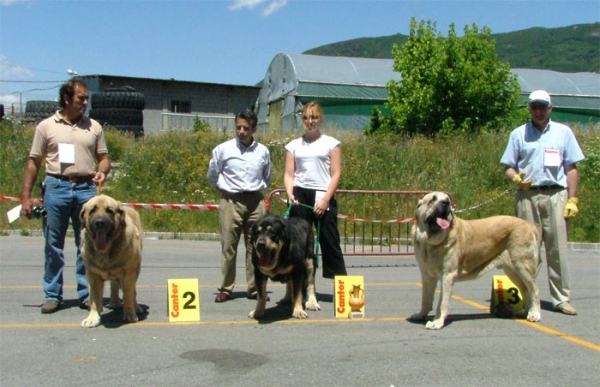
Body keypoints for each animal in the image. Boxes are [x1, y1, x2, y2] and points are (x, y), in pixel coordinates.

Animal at [79, 194, 143, 328]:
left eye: (109, 211)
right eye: (92, 210)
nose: (99, 223)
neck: (105, 252)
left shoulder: (128, 274)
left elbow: (128, 295)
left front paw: (130, 314)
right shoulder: (92, 275)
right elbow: (94, 298)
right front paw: (92, 318)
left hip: (135, 270)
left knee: (132, 292)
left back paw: (135, 307)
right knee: (114, 285)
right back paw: (113, 302)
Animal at [410, 192, 540, 330]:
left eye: (447, 200)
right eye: (432, 200)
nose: (446, 203)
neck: (430, 243)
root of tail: (530, 225)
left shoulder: (447, 276)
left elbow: (442, 303)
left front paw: (437, 322)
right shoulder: (427, 276)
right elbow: (426, 299)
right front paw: (421, 314)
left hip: (523, 266)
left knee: (535, 290)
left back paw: (535, 314)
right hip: (512, 271)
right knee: (525, 290)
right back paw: (525, 312)